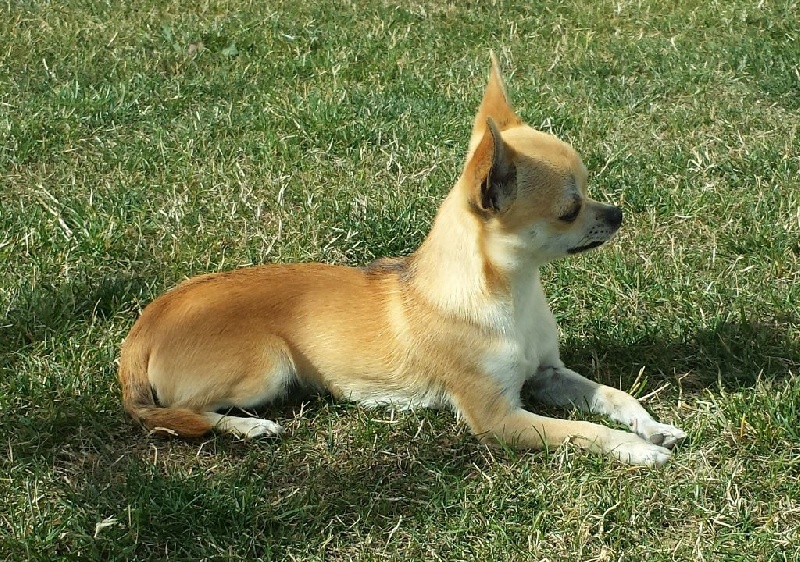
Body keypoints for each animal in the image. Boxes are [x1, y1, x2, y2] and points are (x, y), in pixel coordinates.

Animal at [119, 53, 686, 466]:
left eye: (591, 193)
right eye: (570, 210)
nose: (617, 213)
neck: (513, 292)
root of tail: (145, 325)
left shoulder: (547, 372)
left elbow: (612, 396)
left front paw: (652, 426)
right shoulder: (500, 419)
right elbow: (581, 430)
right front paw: (635, 449)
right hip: (267, 371)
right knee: (178, 414)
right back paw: (248, 426)